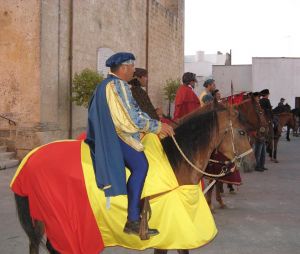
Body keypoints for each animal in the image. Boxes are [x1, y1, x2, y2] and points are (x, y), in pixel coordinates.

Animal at [10, 101, 252, 254]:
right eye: (241, 132)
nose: (249, 160)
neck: (175, 161)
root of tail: (30, 159)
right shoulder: (172, 225)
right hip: (54, 219)